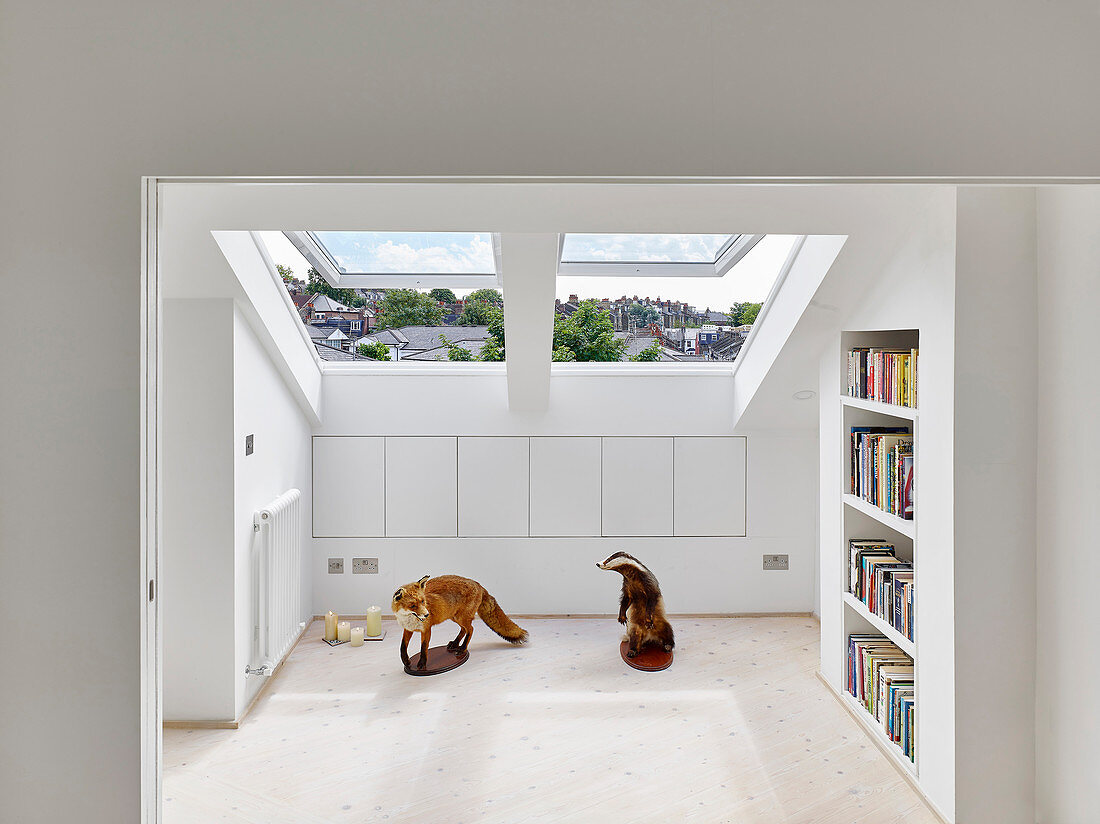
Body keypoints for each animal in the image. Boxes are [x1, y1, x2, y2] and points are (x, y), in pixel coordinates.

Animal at [391, 572, 528, 668]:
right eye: (413, 606)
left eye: (423, 601)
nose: (427, 615)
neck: (410, 620)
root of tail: (479, 584)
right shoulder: (408, 629)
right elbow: (402, 646)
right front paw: (406, 661)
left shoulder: (426, 629)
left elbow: (424, 648)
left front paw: (422, 663)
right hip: (454, 617)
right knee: (463, 630)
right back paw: (455, 644)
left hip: (460, 617)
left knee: (471, 629)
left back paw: (462, 648)